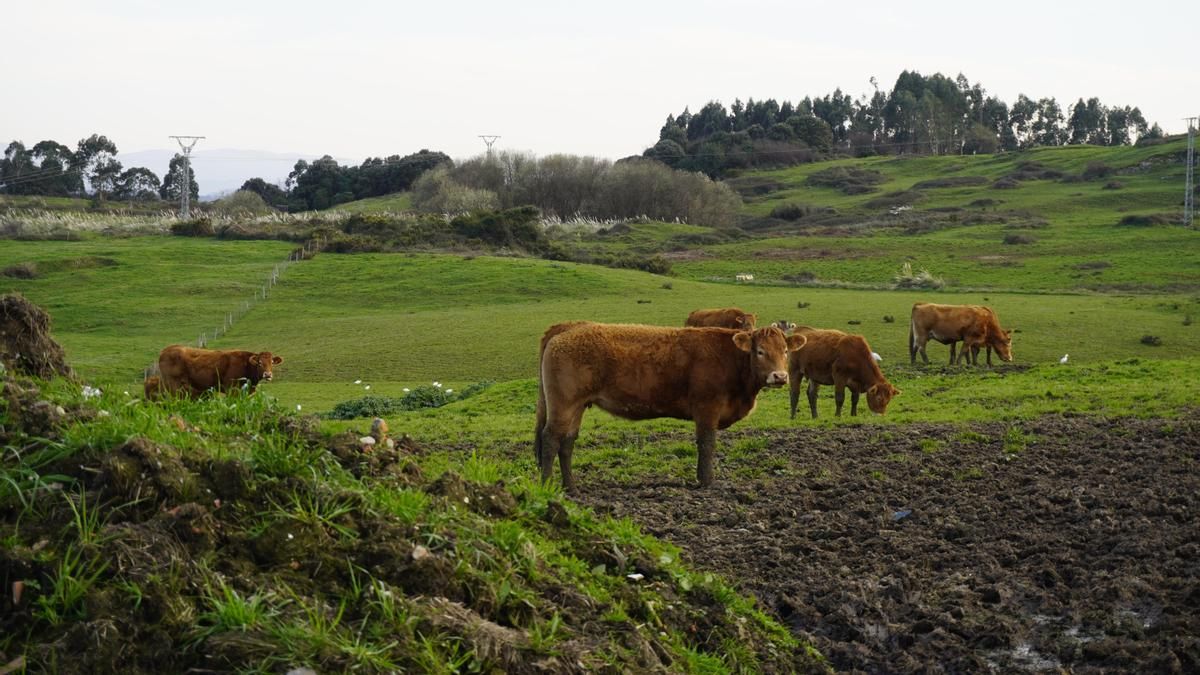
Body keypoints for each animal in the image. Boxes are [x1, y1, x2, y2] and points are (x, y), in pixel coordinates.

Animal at [535, 322, 806, 491]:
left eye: (785, 350)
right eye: (760, 351)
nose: (780, 376)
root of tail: (569, 327)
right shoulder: (707, 408)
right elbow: (707, 444)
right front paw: (707, 481)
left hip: (577, 406)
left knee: (567, 443)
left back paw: (571, 487)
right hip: (563, 404)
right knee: (550, 439)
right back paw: (547, 485)